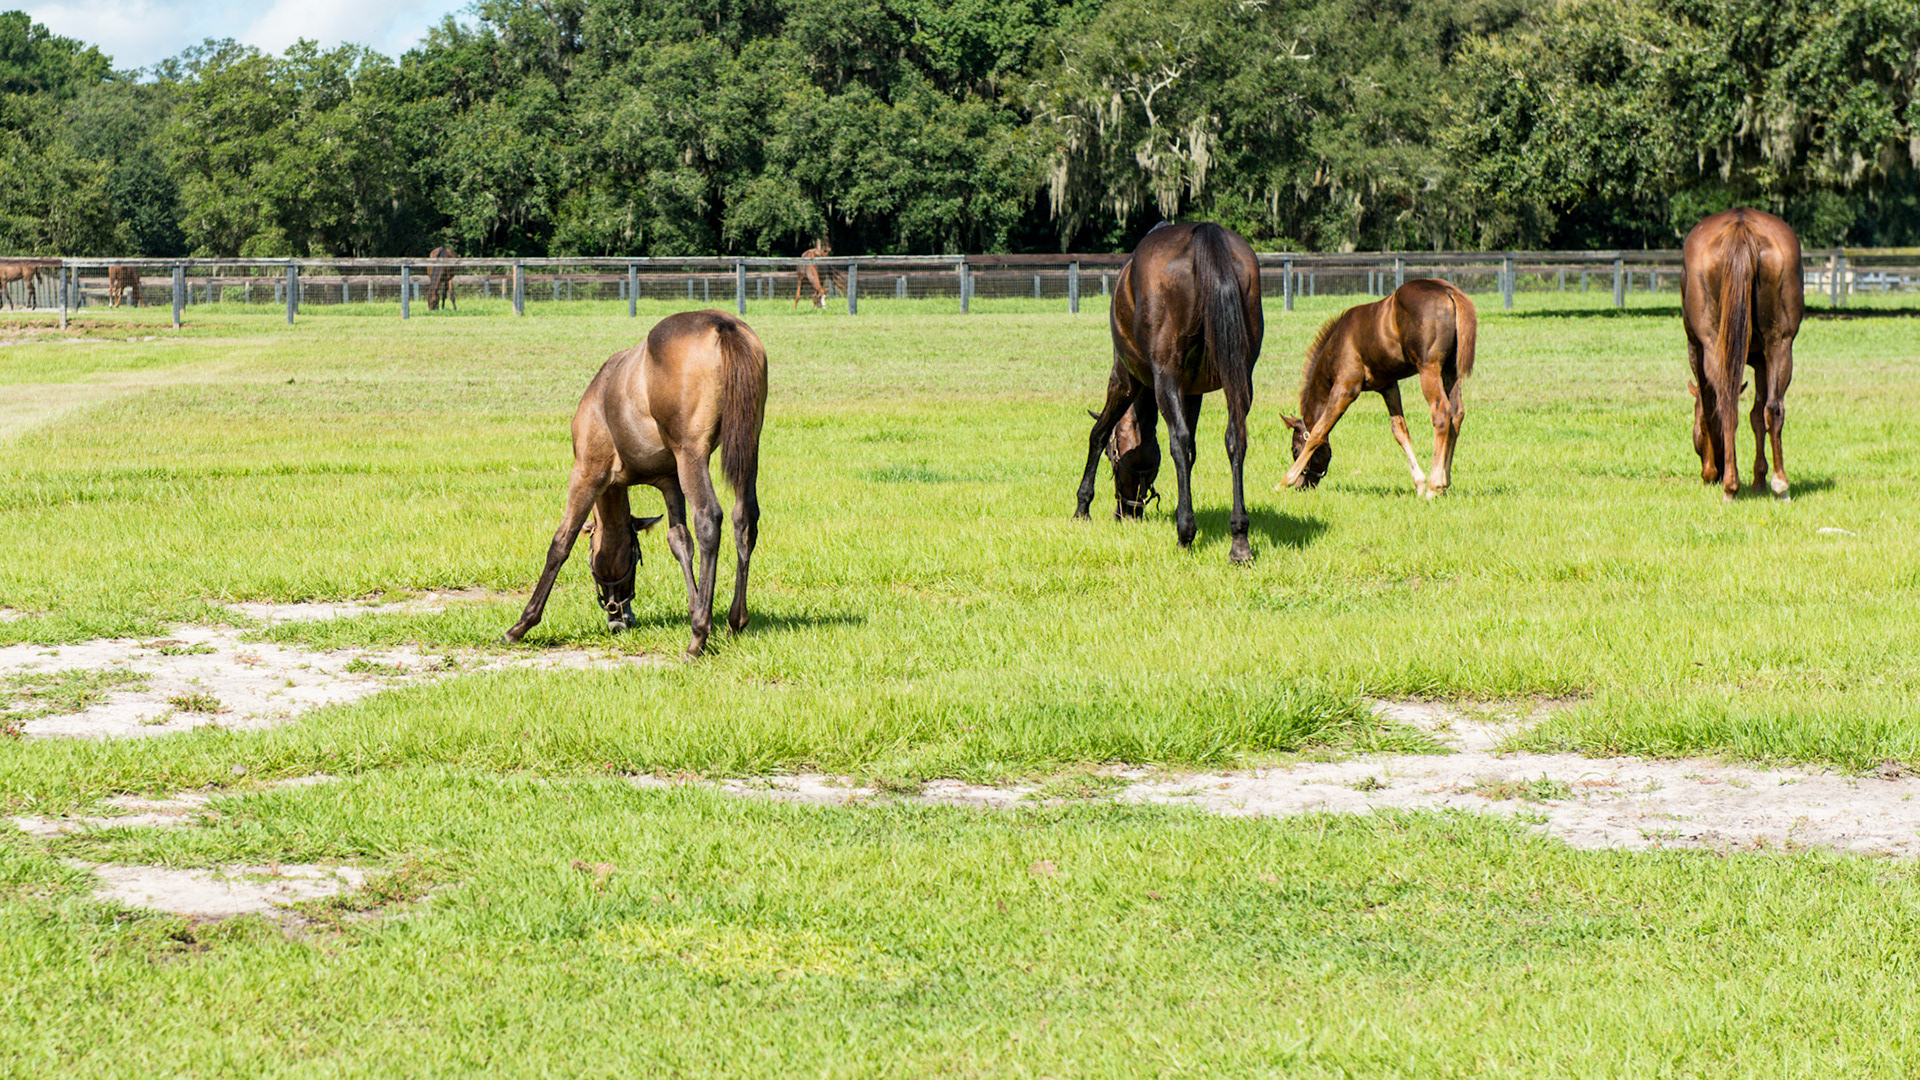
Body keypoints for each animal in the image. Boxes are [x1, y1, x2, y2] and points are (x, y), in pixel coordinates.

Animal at [505, 310, 767, 659]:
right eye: (638, 554)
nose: (619, 616)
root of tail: (721, 324)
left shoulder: (587, 472)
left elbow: (561, 542)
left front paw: (523, 623)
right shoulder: (670, 481)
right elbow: (679, 541)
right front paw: (696, 605)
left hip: (692, 454)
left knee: (709, 518)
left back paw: (698, 638)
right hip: (747, 445)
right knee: (744, 517)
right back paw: (735, 619)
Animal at [1074, 222, 1262, 562]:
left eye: (1114, 457)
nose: (1127, 513)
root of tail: (1204, 233)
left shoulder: (1124, 379)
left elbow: (1099, 433)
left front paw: (1082, 506)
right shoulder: (1192, 392)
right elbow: (1193, 452)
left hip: (1163, 376)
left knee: (1179, 439)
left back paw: (1185, 533)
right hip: (1240, 376)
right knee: (1235, 438)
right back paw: (1239, 539)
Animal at [1277, 279, 1477, 496]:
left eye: (1295, 449)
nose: (1303, 486)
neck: (1339, 342)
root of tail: (1447, 290)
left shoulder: (1346, 388)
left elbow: (1319, 431)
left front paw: (1284, 481)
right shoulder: (1388, 386)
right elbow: (1399, 430)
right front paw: (1419, 483)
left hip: (1429, 368)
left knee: (1441, 412)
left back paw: (1435, 486)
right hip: (1450, 370)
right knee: (1456, 414)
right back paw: (1444, 484)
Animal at [1681, 208, 1802, 500]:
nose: (1710, 472)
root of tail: (1741, 224)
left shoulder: (1695, 350)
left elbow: (1710, 409)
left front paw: (1713, 472)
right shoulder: (1761, 362)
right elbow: (1757, 416)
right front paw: (1759, 479)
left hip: (1712, 347)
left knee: (1726, 406)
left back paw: (1730, 486)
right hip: (1780, 345)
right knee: (1774, 409)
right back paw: (1780, 485)